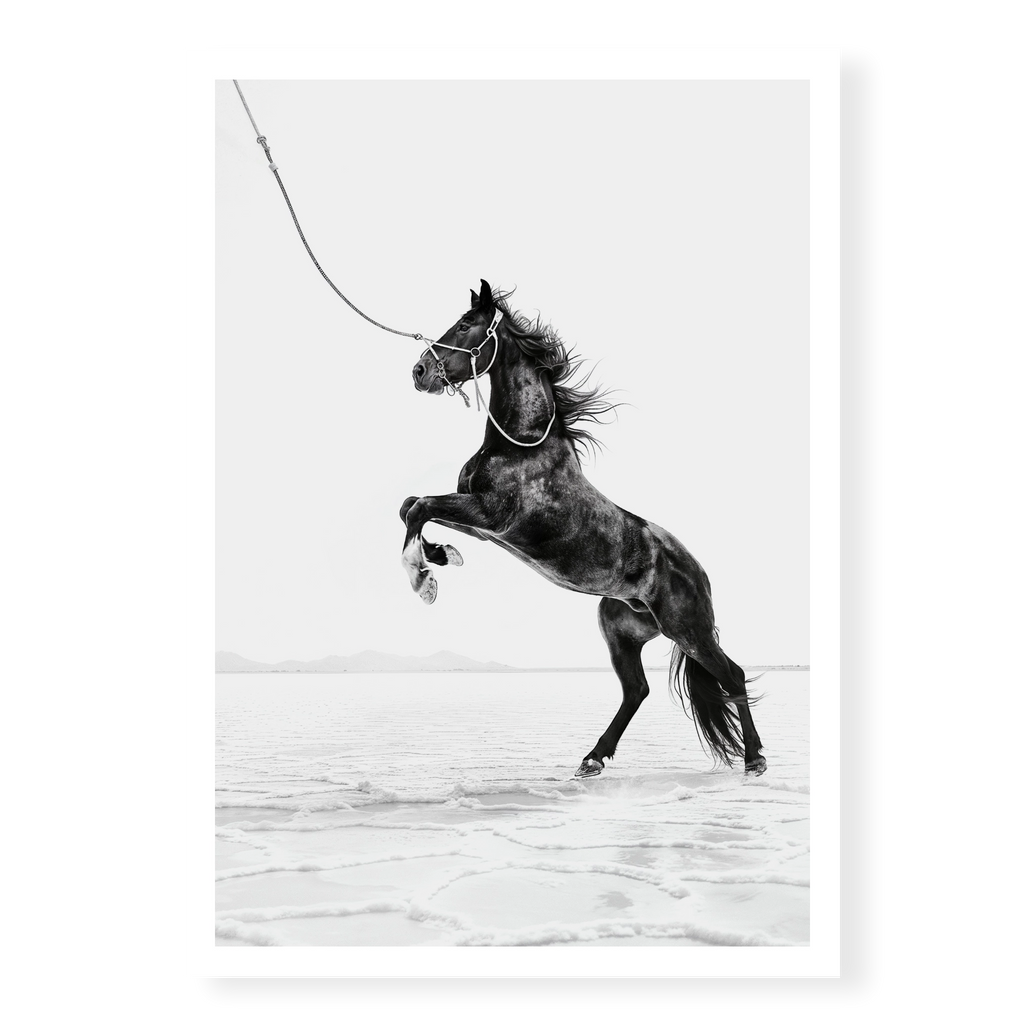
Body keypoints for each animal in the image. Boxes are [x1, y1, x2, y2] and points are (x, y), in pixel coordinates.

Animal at [400, 281, 766, 779]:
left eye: (464, 324)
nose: (420, 372)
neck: (522, 445)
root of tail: (699, 572)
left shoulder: (490, 516)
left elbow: (419, 507)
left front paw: (424, 578)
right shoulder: (480, 524)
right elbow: (412, 507)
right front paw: (441, 556)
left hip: (688, 629)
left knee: (732, 674)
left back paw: (755, 759)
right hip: (621, 631)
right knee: (638, 690)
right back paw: (592, 759)